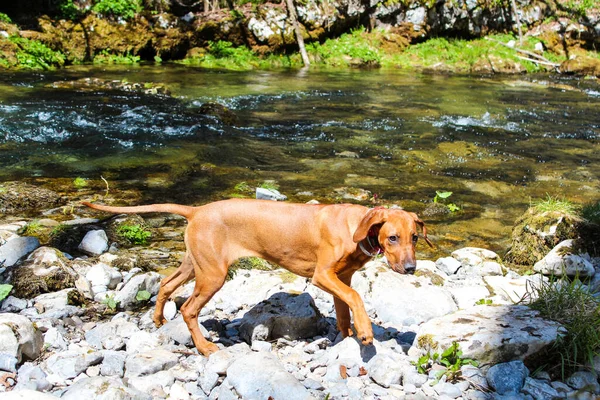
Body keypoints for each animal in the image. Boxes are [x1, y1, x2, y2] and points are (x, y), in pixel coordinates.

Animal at [84, 200, 432, 356]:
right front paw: (366, 333)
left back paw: (157, 320)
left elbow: (346, 309)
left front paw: (349, 335)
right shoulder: (322, 276)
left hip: (195, 264)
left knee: (167, 284)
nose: (411, 269)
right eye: (392, 238)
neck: (356, 227)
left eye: (414, 237)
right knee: (188, 309)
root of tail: (197, 209)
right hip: (213, 275)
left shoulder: (341, 280)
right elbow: (357, 299)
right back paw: (205, 348)